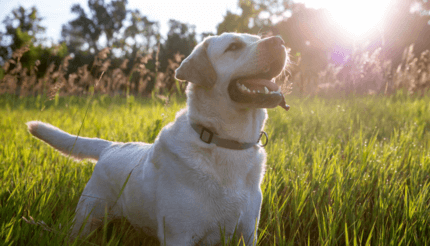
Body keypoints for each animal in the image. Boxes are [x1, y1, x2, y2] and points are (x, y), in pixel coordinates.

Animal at [26, 32, 288, 244]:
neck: (225, 142)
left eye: (257, 37)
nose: (280, 40)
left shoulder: (247, 233)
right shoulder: (179, 235)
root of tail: (111, 146)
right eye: (233, 46)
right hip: (87, 217)